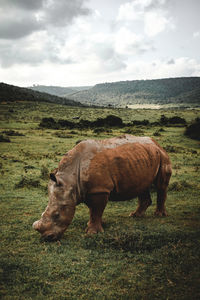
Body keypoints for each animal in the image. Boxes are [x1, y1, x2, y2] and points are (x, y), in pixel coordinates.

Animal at [33, 135, 172, 241]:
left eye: (57, 215)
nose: (47, 237)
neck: (69, 181)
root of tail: (156, 143)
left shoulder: (99, 189)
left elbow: (96, 210)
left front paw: (92, 233)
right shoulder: (88, 190)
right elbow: (92, 210)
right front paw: (91, 225)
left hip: (162, 155)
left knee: (161, 185)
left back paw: (159, 215)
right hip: (145, 157)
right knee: (142, 185)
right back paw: (135, 215)